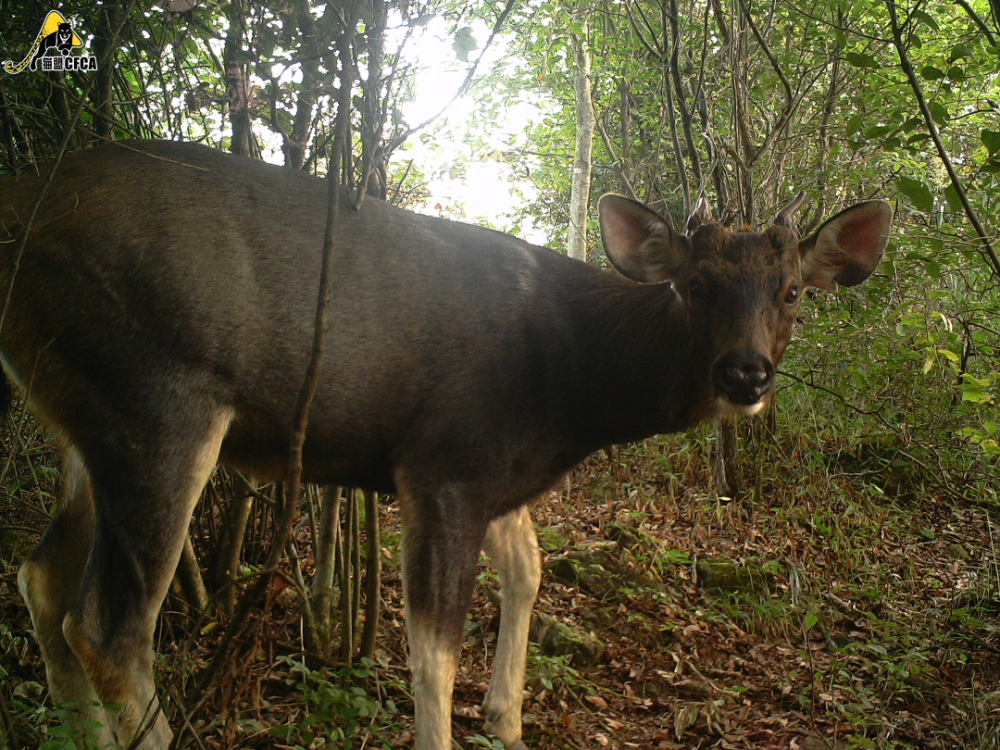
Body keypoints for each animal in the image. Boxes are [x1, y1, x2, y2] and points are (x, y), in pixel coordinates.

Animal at [0, 140, 892, 748]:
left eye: (791, 291)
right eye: (696, 284)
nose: (745, 372)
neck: (570, 382)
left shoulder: (496, 473)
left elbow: (528, 569)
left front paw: (508, 720)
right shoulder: (442, 462)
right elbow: (433, 650)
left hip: (82, 418)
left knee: (40, 579)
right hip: (157, 395)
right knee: (108, 626)